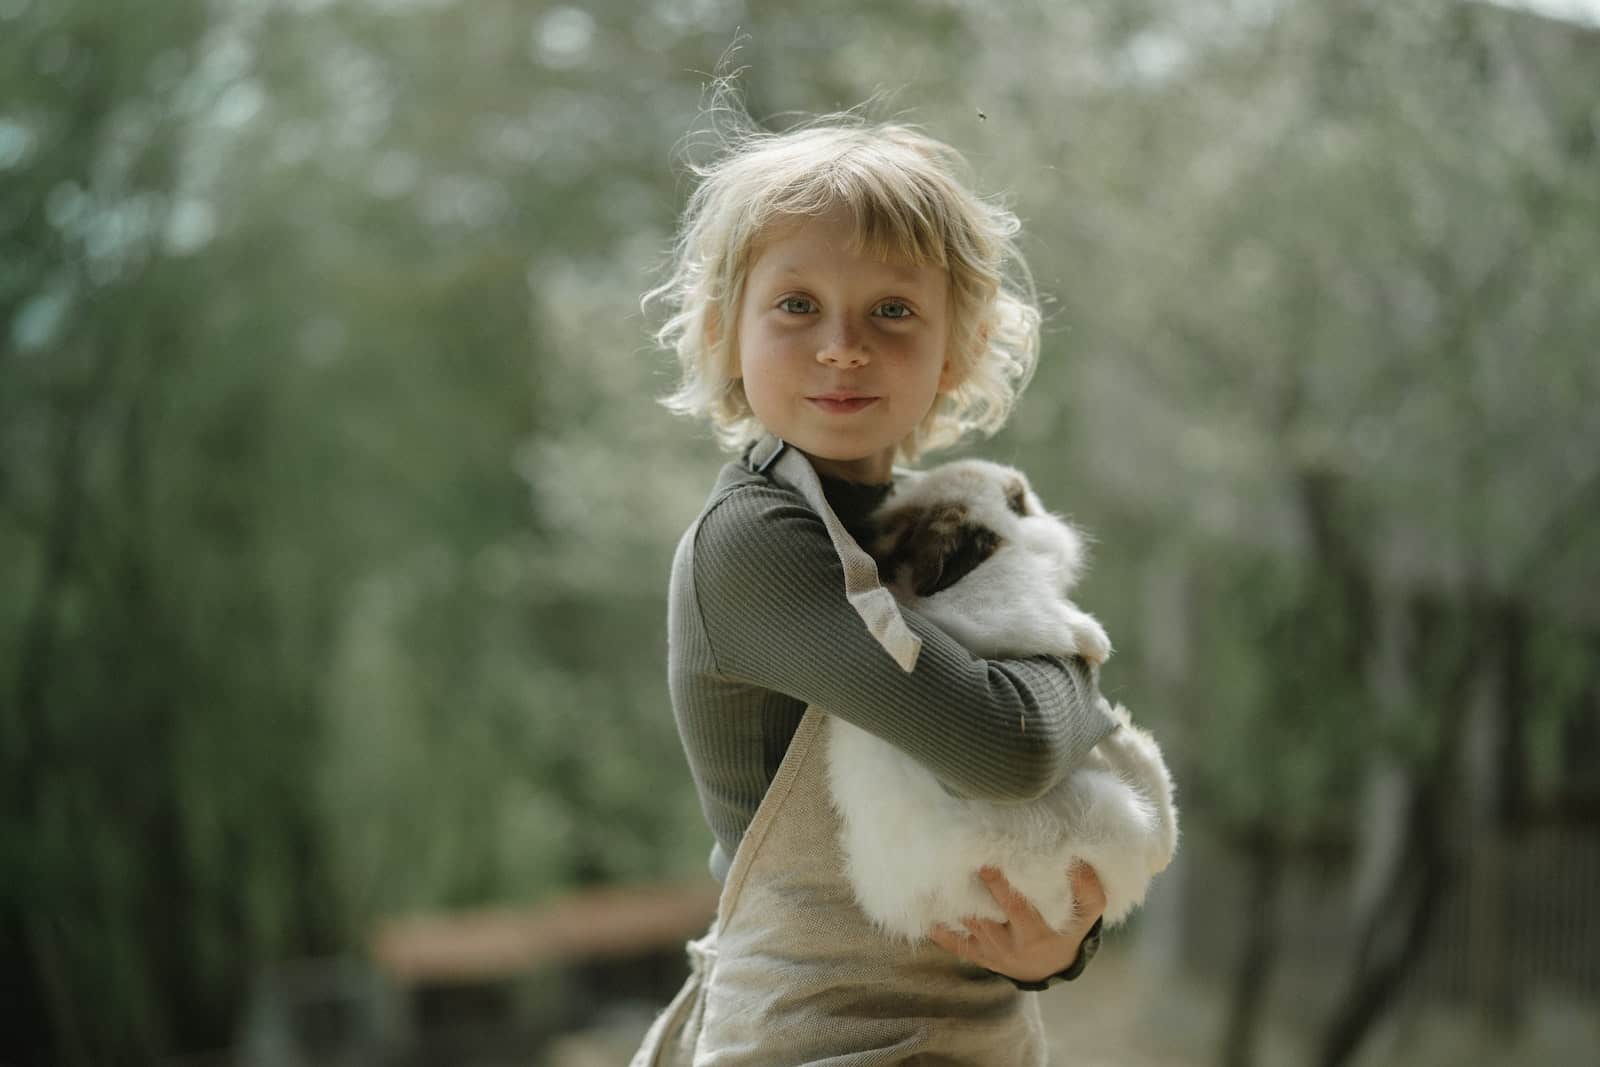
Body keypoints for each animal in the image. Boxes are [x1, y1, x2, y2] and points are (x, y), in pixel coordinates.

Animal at [825, 460, 1177, 940]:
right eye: (1017, 503)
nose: (1044, 509)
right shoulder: (1005, 610)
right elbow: (1048, 623)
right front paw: (1096, 641)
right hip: (1110, 809)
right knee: (1159, 834)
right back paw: (1131, 741)